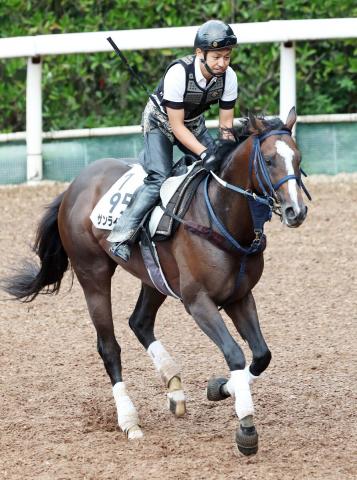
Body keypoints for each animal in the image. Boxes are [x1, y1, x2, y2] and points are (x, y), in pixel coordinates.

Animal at [2, 107, 308, 456]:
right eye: (269, 160)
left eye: (298, 158)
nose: (296, 211)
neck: (221, 215)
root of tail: (73, 186)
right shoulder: (199, 302)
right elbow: (234, 353)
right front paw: (246, 427)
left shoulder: (239, 297)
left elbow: (261, 355)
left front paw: (220, 387)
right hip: (92, 273)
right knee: (109, 346)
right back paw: (129, 420)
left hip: (154, 277)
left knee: (140, 322)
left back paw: (174, 387)